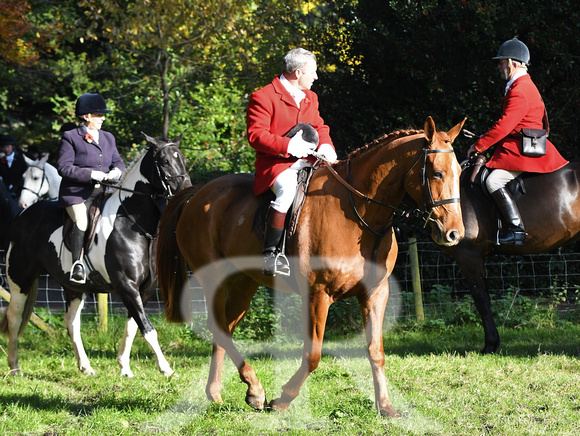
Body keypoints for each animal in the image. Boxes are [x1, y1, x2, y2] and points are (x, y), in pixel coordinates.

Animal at [0, 133, 190, 378]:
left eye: (183, 159)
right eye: (165, 161)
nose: (186, 188)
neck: (133, 224)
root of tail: (23, 213)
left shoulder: (145, 288)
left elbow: (133, 325)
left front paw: (124, 367)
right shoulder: (126, 285)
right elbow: (148, 329)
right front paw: (166, 368)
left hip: (73, 286)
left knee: (71, 322)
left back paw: (86, 366)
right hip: (19, 279)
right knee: (14, 318)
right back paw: (15, 367)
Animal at [156, 117, 464, 418]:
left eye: (459, 172)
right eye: (436, 173)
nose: (454, 233)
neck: (359, 213)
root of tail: (197, 193)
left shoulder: (376, 293)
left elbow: (376, 350)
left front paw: (386, 406)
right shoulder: (319, 294)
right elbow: (313, 354)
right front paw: (283, 399)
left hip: (244, 282)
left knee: (225, 327)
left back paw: (220, 392)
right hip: (214, 277)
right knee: (218, 326)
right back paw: (255, 390)